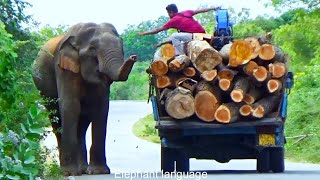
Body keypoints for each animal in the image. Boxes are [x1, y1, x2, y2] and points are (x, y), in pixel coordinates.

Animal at [31, 22, 137, 176]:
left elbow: (101, 108)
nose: (134, 57)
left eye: (121, 47)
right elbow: (70, 105)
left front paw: (99, 172)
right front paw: (69, 173)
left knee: (83, 121)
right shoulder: (63, 66)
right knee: (55, 116)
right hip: (43, 88)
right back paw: (67, 170)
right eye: (92, 49)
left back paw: (83, 169)